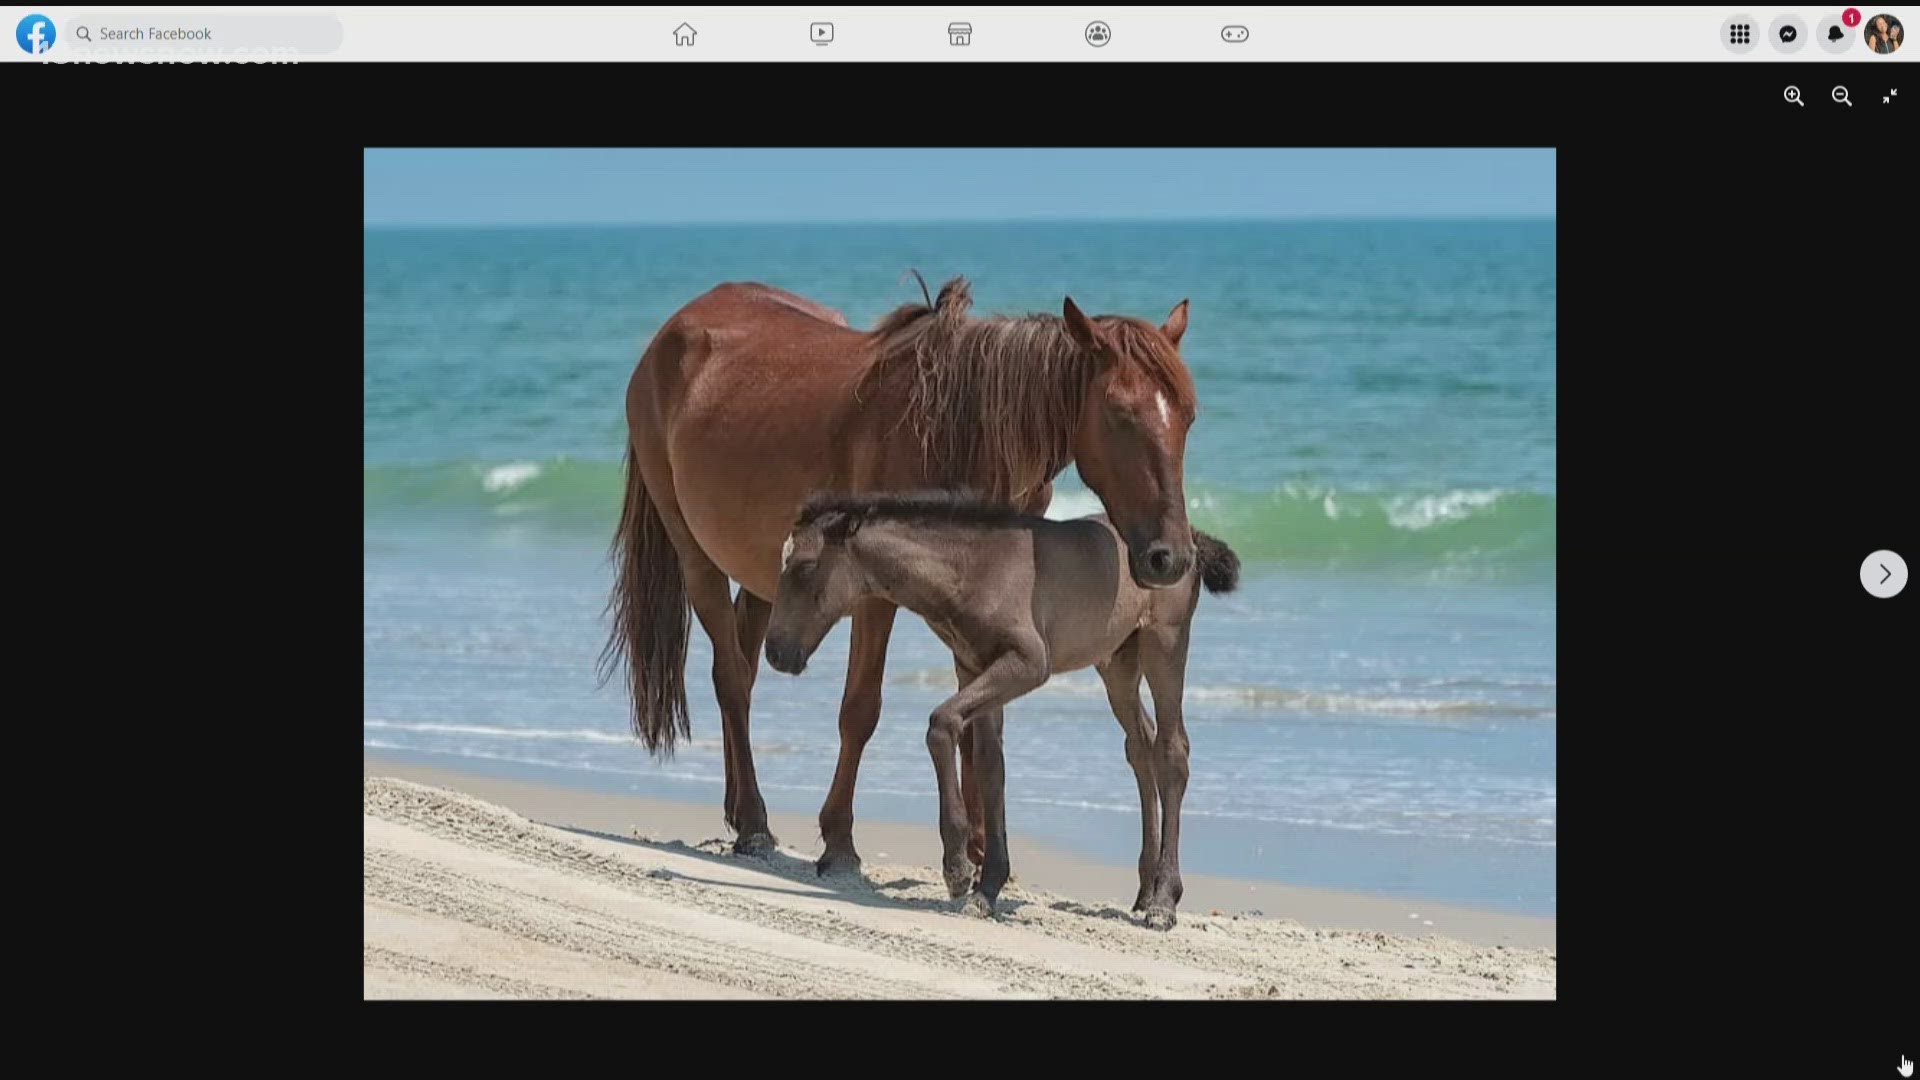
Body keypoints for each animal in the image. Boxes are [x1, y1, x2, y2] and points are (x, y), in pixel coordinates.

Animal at [602, 272, 1198, 868]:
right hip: (695, 555)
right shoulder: (874, 594)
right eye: (1120, 413)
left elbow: (979, 722)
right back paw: (753, 822)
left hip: (761, 577)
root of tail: (675, 329)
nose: (1170, 557)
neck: (959, 428)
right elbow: (861, 709)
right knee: (730, 677)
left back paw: (737, 808)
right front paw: (840, 840)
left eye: (1189, 415)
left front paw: (978, 846)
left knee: (744, 668)